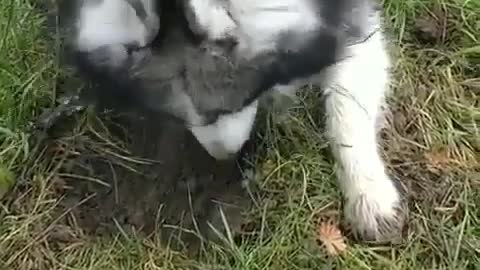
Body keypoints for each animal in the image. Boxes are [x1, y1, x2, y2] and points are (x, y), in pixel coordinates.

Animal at [67, 0, 404, 240]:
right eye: (177, 114)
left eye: (234, 104)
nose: (226, 156)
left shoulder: (350, 25)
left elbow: (347, 114)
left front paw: (368, 194)